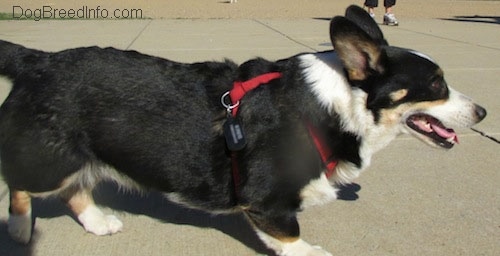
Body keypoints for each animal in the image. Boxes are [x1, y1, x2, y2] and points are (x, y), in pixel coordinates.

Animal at [0, 4, 484, 256]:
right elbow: (290, 235)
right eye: (436, 85)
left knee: (74, 189)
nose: (481, 113)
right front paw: (309, 253)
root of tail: (37, 59)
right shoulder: (266, 202)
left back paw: (98, 223)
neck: (334, 105)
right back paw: (21, 230)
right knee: (22, 185)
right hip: (48, 160)